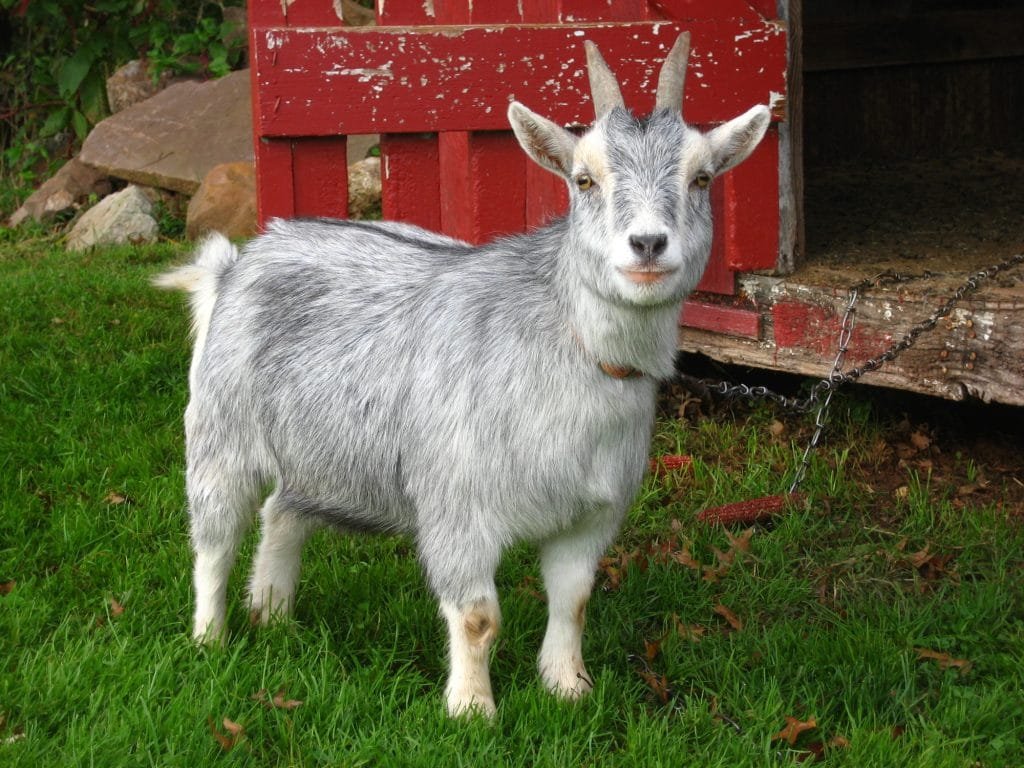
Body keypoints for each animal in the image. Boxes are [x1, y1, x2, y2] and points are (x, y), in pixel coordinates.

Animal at [155, 34, 770, 720]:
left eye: (702, 177)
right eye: (583, 178)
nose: (648, 244)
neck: (567, 349)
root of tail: (238, 263)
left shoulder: (592, 514)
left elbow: (573, 600)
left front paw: (569, 688)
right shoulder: (458, 507)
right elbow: (477, 617)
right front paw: (473, 712)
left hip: (322, 452)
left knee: (284, 510)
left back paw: (274, 614)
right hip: (220, 431)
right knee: (214, 538)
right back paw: (210, 638)